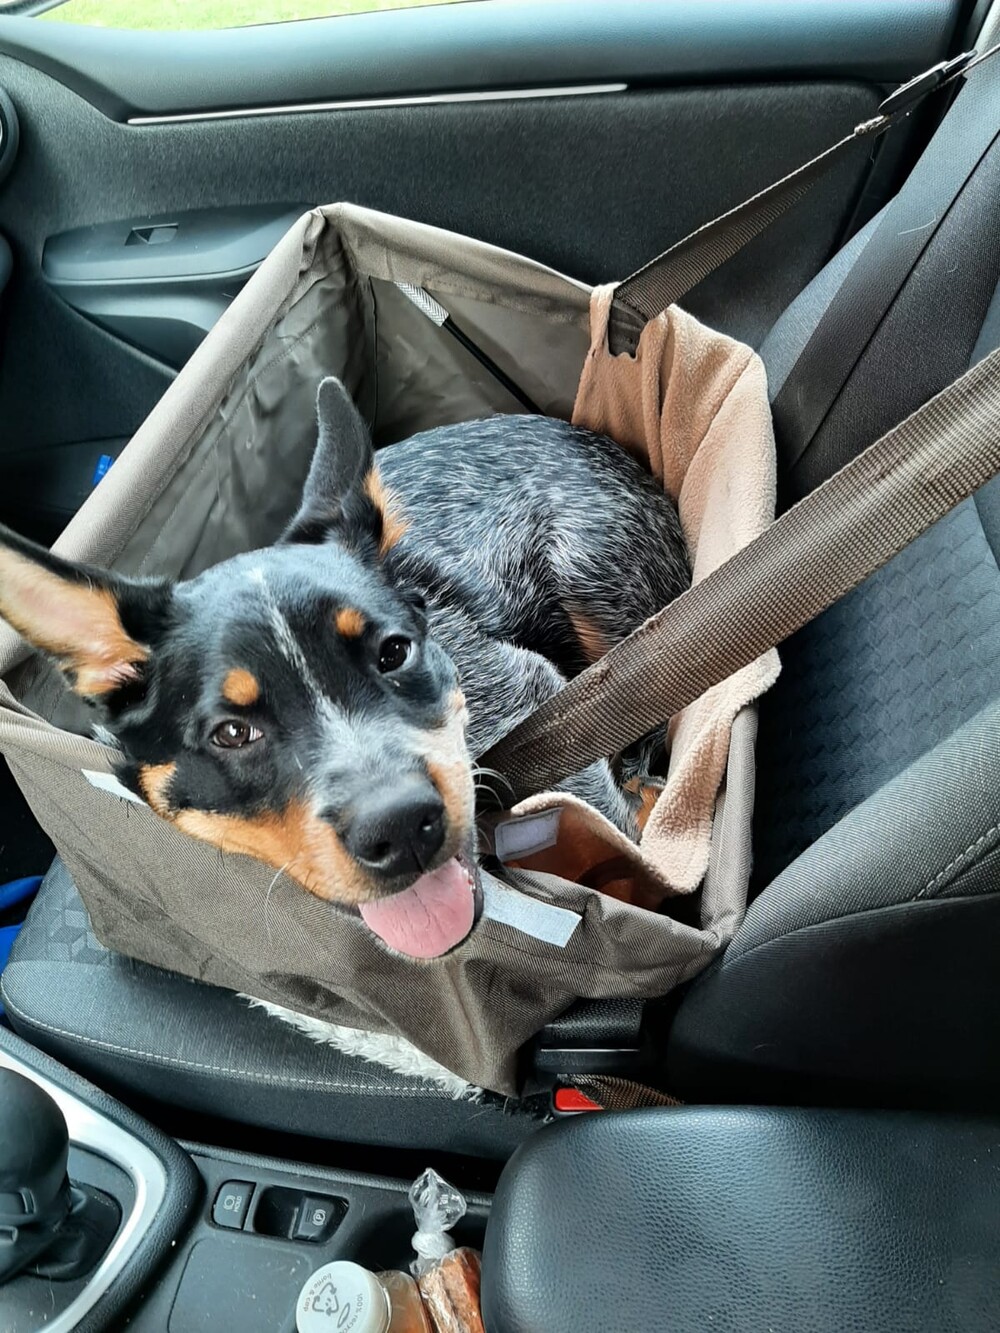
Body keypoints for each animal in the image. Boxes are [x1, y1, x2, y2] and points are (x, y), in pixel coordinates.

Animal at [0, 379, 689, 964]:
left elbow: (613, 835)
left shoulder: (528, 692)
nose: (402, 828)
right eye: (231, 733)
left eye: (394, 653)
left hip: (590, 570)